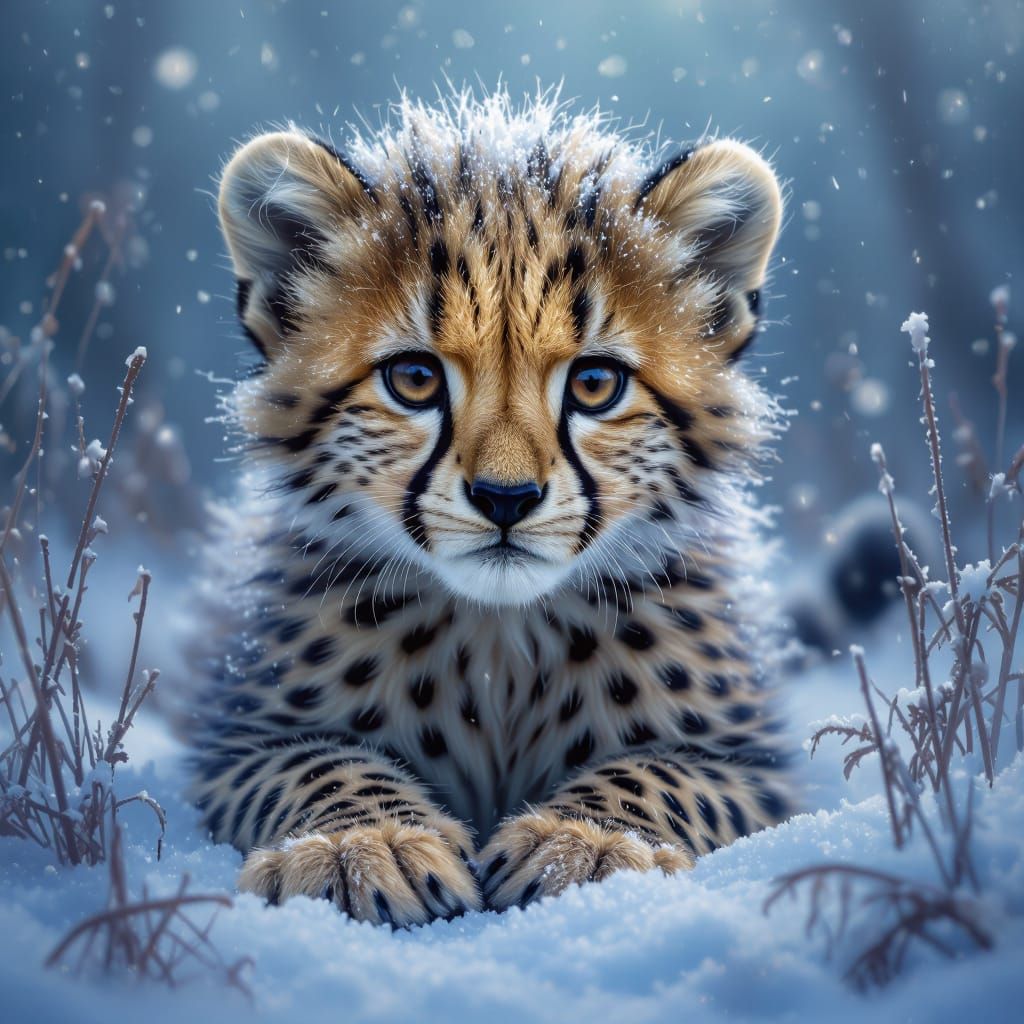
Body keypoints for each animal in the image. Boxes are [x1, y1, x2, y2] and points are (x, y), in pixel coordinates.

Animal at [187, 90, 790, 928]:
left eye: (595, 385)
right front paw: (360, 842)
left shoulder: (751, 762)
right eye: (413, 379)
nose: (507, 499)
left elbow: (657, 773)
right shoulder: (239, 739)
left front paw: (587, 841)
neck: (502, 640)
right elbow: (322, 764)